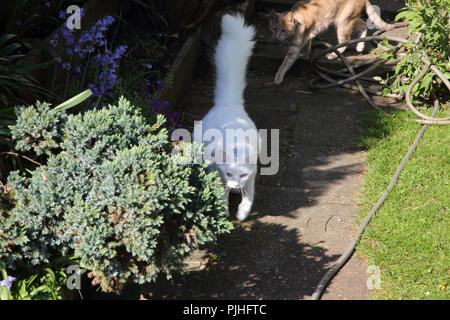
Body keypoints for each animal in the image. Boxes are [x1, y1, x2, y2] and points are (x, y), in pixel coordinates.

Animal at [194, 14, 258, 220]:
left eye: (242, 175)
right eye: (230, 174)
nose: (236, 184)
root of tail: (228, 102)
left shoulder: (252, 178)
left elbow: (249, 198)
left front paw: (242, 213)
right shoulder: (219, 175)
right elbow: (222, 195)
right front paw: (224, 211)